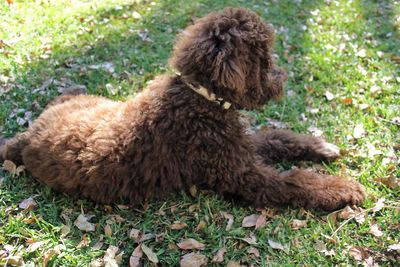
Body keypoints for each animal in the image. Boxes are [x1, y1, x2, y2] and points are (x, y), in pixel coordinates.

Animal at [0, 7, 366, 211]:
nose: (281, 77)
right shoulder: (242, 173)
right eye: (262, 58)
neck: (200, 98)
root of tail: (27, 137)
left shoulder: (242, 146)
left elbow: (278, 138)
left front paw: (321, 146)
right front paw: (344, 189)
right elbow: (296, 182)